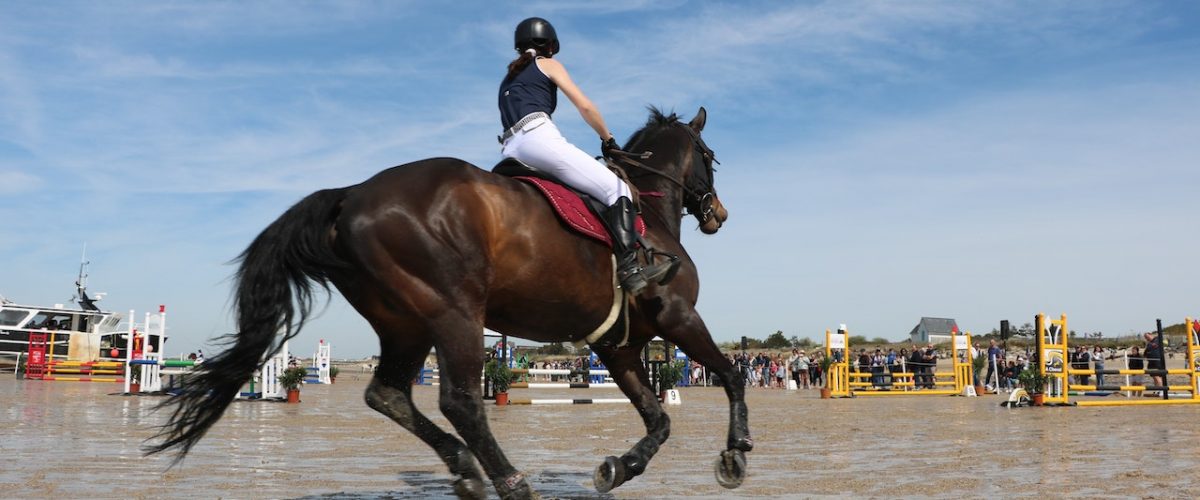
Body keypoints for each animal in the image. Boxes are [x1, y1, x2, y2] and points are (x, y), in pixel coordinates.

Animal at [145, 107, 751, 499]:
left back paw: (465, 468)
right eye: (711, 156)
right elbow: (728, 374)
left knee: (388, 394)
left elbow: (659, 418)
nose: (719, 214)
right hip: (455, 313)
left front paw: (618, 467)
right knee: (460, 401)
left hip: (407, 324)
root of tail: (352, 194)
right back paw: (510, 481)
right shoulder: (677, 317)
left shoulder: (618, 348)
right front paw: (736, 452)